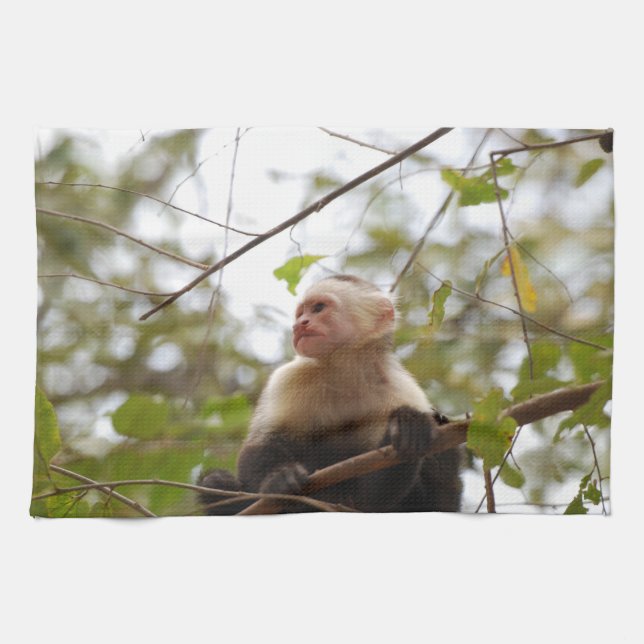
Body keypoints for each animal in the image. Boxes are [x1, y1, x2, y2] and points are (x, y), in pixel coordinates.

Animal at [198, 274, 461, 514]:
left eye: (318, 308)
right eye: (300, 313)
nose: (299, 324)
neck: (345, 369)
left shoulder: (404, 391)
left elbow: (373, 501)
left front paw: (409, 427)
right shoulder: (289, 378)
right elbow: (262, 442)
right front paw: (278, 478)